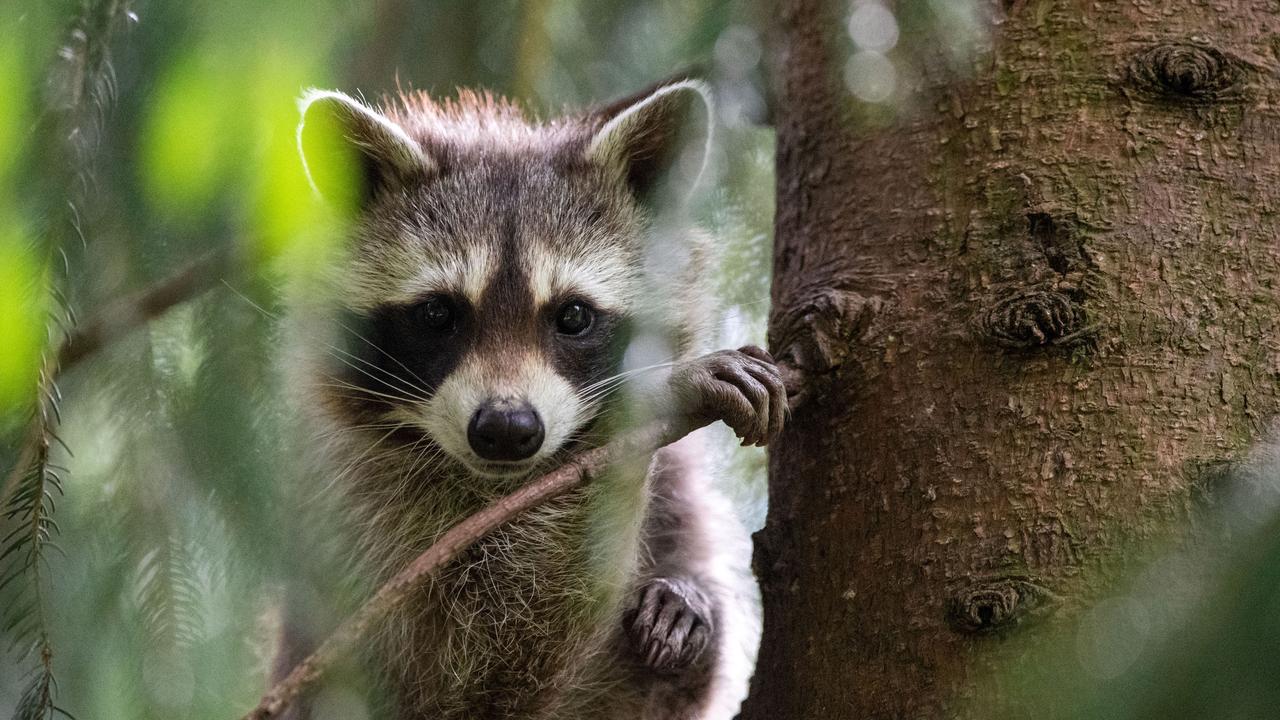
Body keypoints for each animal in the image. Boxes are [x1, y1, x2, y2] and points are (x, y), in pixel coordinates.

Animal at [277, 79, 778, 717]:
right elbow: (480, 652)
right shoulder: (368, 507)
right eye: (437, 313)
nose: (507, 429)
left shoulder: (679, 490)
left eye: (574, 316)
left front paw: (683, 603)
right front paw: (652, 405)